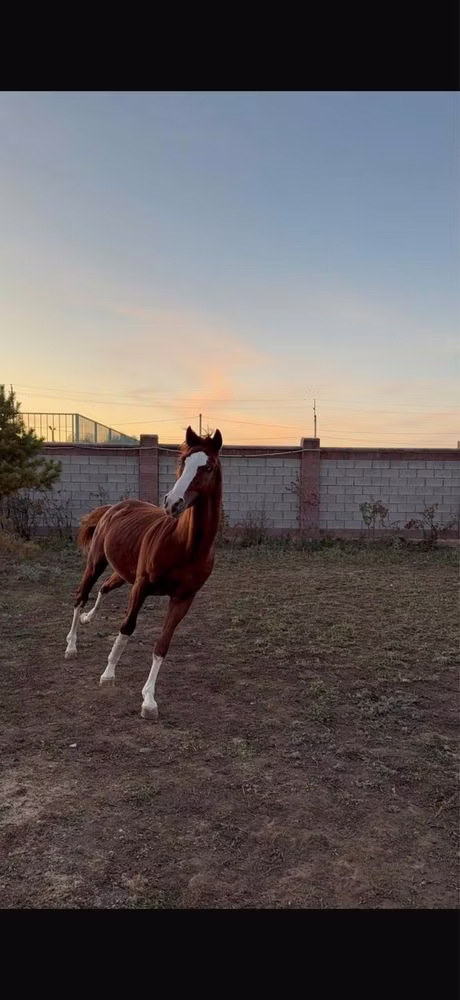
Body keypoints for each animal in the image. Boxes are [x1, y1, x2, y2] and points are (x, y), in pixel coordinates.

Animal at [64, 426, 223, 720]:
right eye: (182, 461)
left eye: (207, 467)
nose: (172, 502)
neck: (184, 545)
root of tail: (114, 508)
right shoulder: (142, 586)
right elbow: (127, 627)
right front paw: (108, 674)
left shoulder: (183, 599)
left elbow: (162, 644)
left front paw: (149, 700)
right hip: (97, 563)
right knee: (81, 595)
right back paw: (71, 645)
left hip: (123, 572)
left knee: (105, 586)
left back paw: (88, 619)